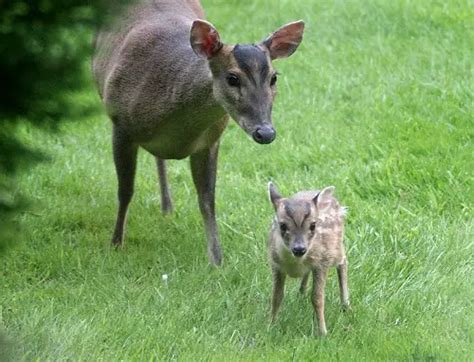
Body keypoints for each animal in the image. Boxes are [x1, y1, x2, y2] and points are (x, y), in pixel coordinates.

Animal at [93, 0, 304, 266]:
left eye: (274, 77)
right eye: (232, 78)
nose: (265, 132)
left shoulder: (209, 141)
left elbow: (207, 199)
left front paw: (217, 259)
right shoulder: (120, 125)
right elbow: (125, 190)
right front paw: (115, 244)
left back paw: (167, 206)